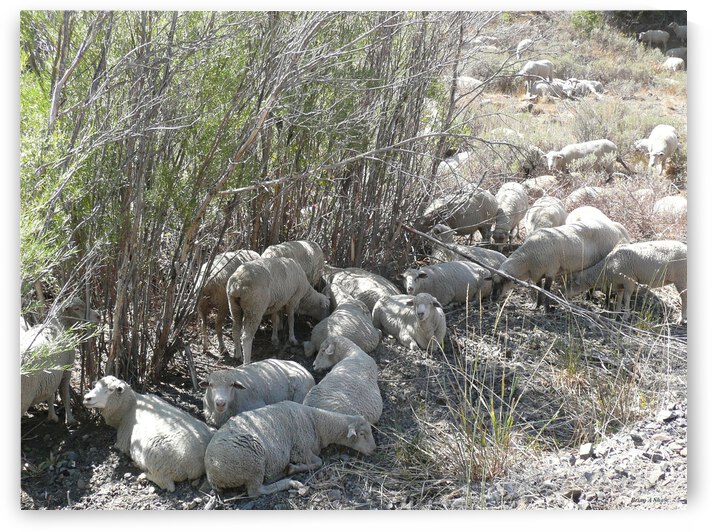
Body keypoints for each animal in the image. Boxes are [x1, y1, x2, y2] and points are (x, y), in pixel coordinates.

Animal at [21, 297, 98, 426]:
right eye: (77, 308)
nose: (98, 316)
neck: (60, 324)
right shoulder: (67, 369)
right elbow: (64, 394)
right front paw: (70, 419)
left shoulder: (52, 376)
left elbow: (51, 394)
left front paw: (52, 416)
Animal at [83, 375, 215, 492]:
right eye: (95, 386)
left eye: (110, 390)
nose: (86, 398)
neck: (131, 405)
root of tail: (197, 465)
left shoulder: (123, 439)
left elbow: (118, 446)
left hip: (159, 464)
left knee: (167, 485)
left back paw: (143, 473)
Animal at [204, 400, 376, 496]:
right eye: (362, 434)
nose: (374, 450)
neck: (317, 422)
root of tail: (212, 474)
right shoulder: (300, 450)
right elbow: (318, 462)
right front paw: (294, 468)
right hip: (253, 460)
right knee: (256, 492)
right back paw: (289, 482)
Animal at [490, 219, 630, 312]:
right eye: (492, 282)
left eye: (502, 282)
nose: (493, 298)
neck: (528, 258)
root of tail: (614, 227)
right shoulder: (538, 273)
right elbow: (539, 288)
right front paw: (536, 305)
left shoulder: (551, 270)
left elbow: (546, 290)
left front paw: (546, 309)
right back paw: (589, 297)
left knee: (607, 284)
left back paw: (605, 304)